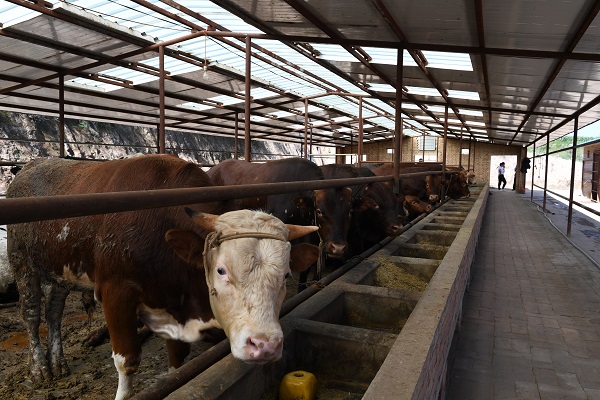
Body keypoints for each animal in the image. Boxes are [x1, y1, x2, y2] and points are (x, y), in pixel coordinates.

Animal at [7, 154, 320, 400]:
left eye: (286, 274)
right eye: (221, 270)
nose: (266, 345)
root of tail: (30, 166)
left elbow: (177, 363)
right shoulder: (115, 291)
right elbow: (127, 361)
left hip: (57, 270)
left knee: (54, 311)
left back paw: (58, 361)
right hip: (22, 261)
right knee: (32, 314)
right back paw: (40, 367)